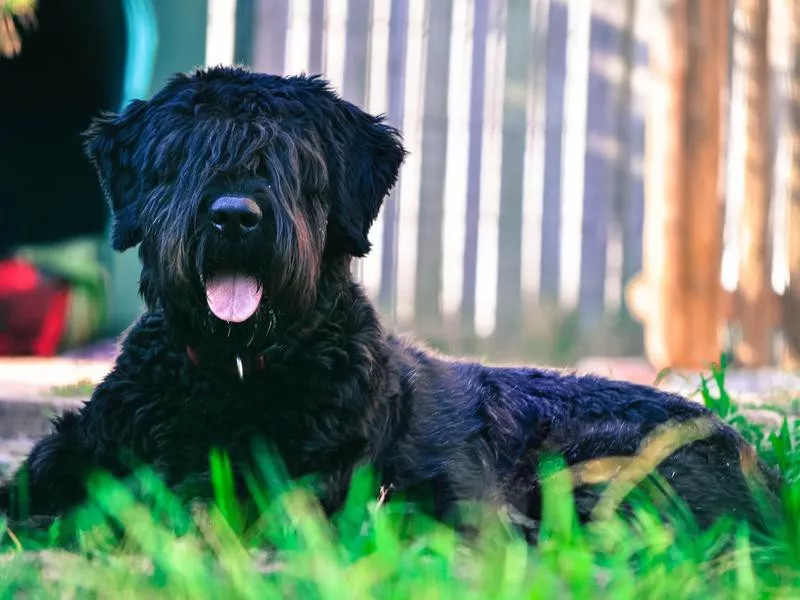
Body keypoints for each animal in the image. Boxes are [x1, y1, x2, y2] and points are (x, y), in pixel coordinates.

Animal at [0, 68, 776, 536]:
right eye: (186, 153)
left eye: (291, 159)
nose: (233, 217)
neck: (232, 370)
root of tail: (756, 462)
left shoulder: (286, 486)